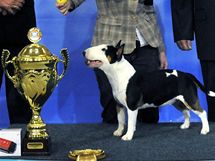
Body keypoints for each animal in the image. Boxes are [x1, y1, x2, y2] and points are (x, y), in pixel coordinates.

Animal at [83, 41, 214, 141]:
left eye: (103, 50)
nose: (83, 52)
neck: (118, 74)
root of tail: (187, 75)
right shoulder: (119, 105)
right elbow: (120, 120)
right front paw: (119, 132)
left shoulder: (132, 107)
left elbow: (130, 122)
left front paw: (128, 136)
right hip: (176, 101)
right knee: (186, 111)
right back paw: (185, 125)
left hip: (189, 98)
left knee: (202, 112)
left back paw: (205, 130)